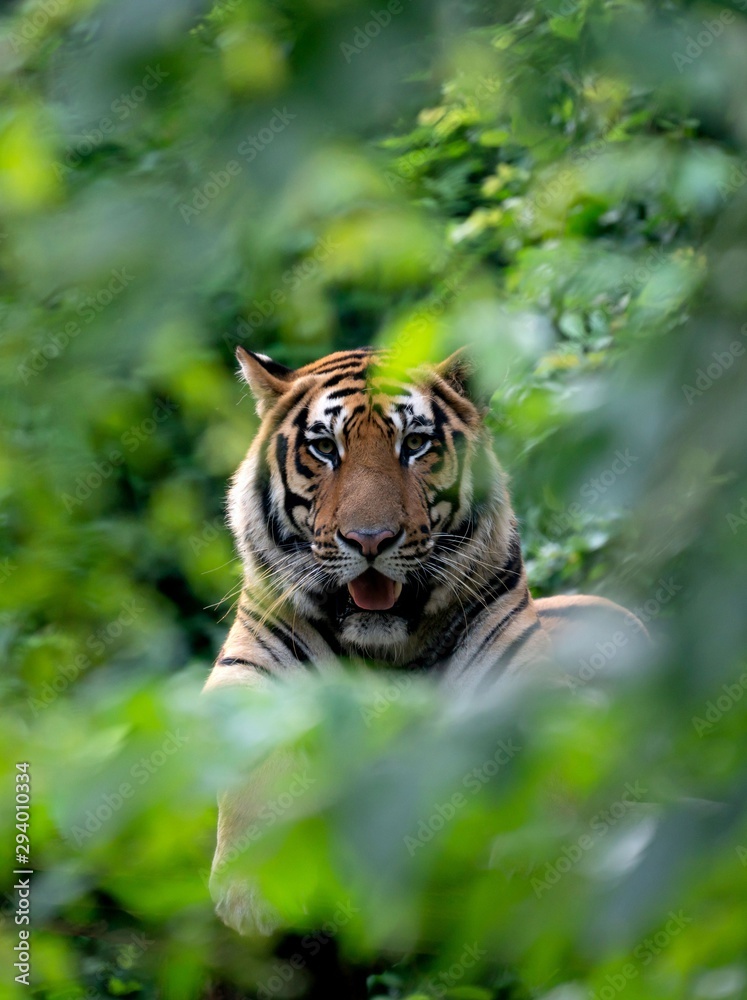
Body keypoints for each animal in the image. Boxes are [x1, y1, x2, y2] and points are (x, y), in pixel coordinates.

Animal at [205, 346, 648, 936]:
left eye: (415, 444)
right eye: (325, 448)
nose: (369, 540)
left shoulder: (518, 676)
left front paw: (537, 849)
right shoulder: (250, 672)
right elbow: (254, 767)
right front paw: (255, 889)